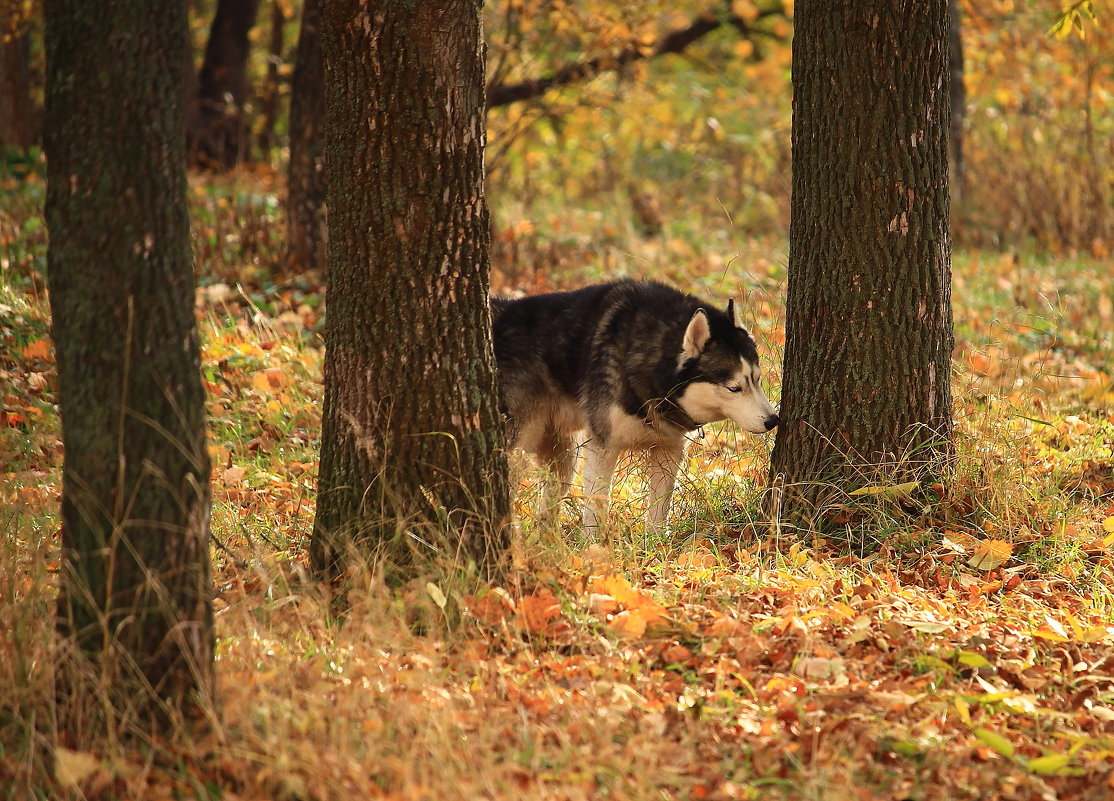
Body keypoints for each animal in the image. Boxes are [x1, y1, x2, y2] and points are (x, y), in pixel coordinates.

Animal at [492, 281, 779, 532]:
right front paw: (594, 551)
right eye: (734, 388)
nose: (773, 420)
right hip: (520, 447)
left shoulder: (668, 449)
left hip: (564, 456)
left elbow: (658, 512)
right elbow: (595, 509)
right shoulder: (603, 448)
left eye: (757, 380)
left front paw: (655, 547)